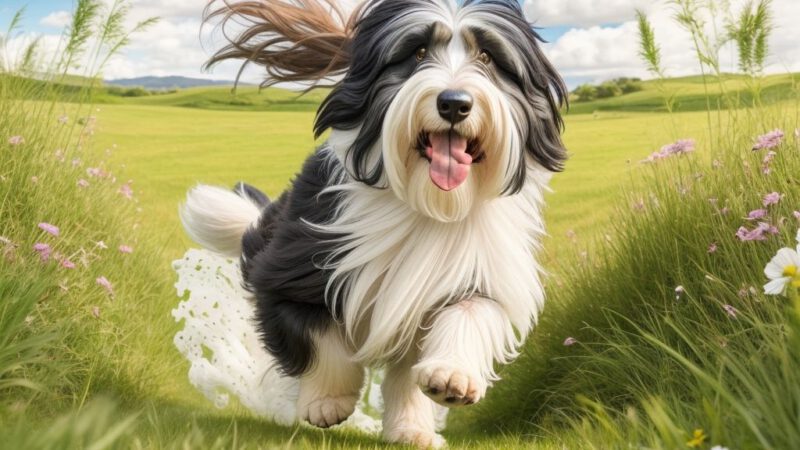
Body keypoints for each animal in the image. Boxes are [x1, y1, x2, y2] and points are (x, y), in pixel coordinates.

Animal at [182, 0, 568, 446]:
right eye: (417, 52)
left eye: (488, 57)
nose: (454, 103)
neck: (428, 202)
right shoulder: (290, 268)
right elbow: (317, 334)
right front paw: (327, 400)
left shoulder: (480, 270)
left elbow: (470, 312)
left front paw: (445, 383)